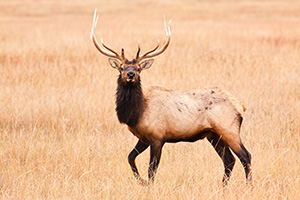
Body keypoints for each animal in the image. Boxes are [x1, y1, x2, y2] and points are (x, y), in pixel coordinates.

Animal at [90, 8, 252, 185]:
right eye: (121, 67)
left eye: (139, 68)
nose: (131, 74)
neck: (136, 112)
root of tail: (240, 106)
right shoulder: (144, 137)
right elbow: (130, 157)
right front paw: (141, 181)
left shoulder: (158, 136)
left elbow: (152, 169)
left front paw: (148, 185)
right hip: (214, 135)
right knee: (229, 160)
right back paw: (222, 187)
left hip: (229, 129)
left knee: (245, 156)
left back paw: (248, 187)